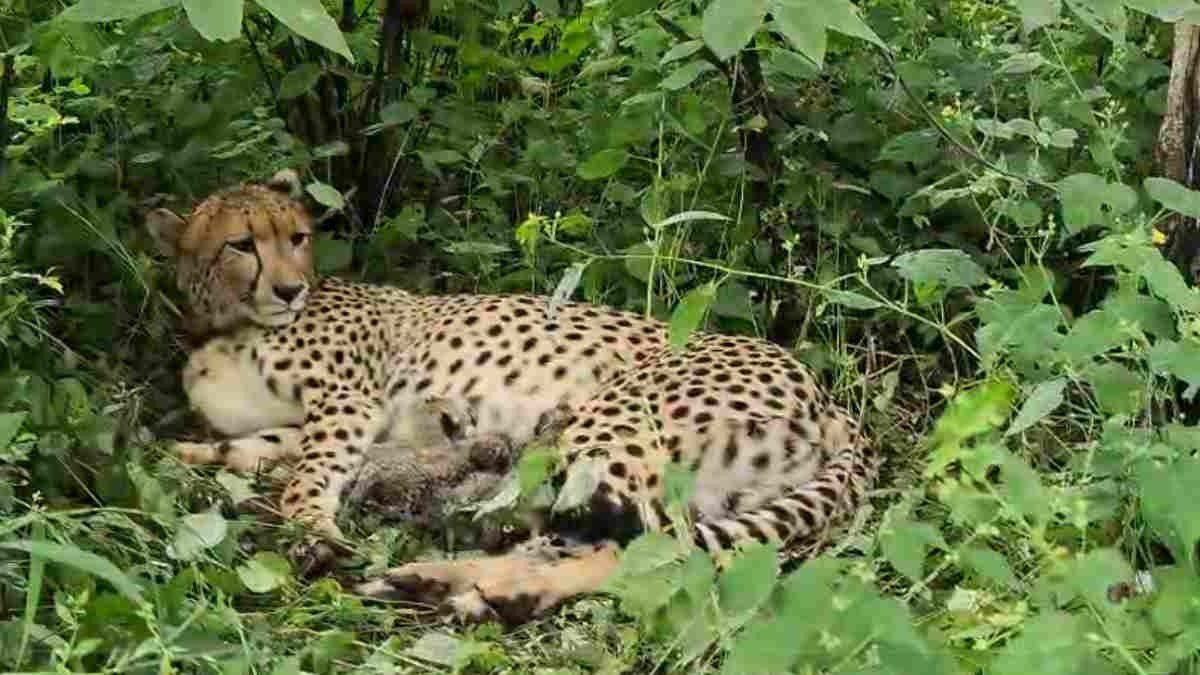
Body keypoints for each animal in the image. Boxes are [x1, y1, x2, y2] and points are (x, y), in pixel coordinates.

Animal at [147, 169, 882, 625]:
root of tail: (830, 399)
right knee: (630, 546)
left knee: (637, 546)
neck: (230, 324)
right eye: (242, 244)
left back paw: (482, 586)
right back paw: (451, 584)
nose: (290, 287)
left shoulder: (348, 403)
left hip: (610, 420)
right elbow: (249, 448)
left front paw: (311, 530)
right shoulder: (321, 423)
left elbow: (309, 474)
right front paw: (184, 455)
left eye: (296, 237)